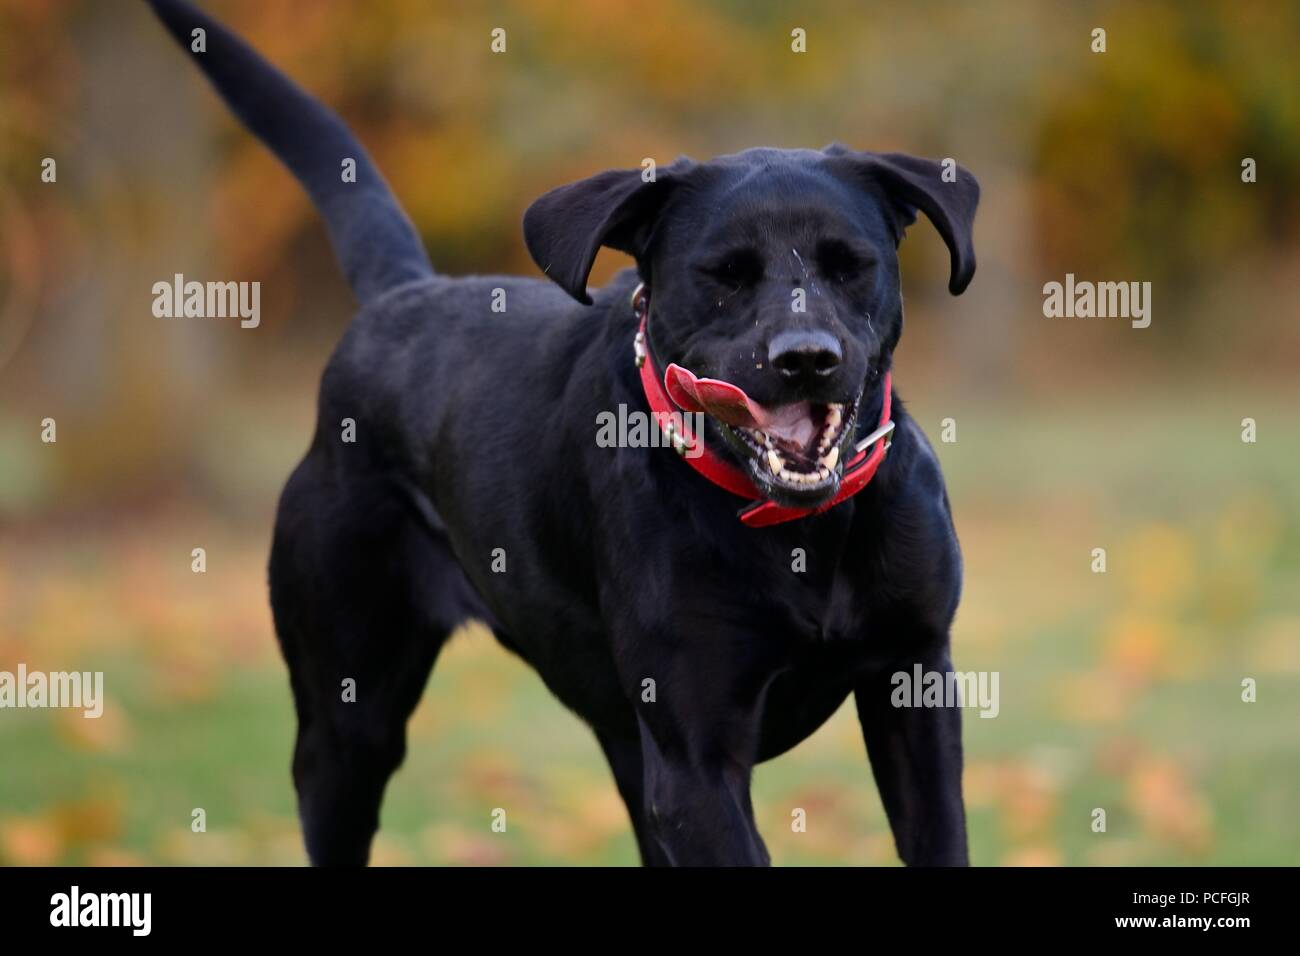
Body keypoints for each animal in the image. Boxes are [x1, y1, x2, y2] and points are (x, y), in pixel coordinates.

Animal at [149, 0, 977, 868]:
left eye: (850, 264)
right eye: (723, 274)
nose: (807, 357)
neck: (802, 532)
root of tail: (401, 296)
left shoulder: (914, 683)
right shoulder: (695, 762)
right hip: (347, 723)